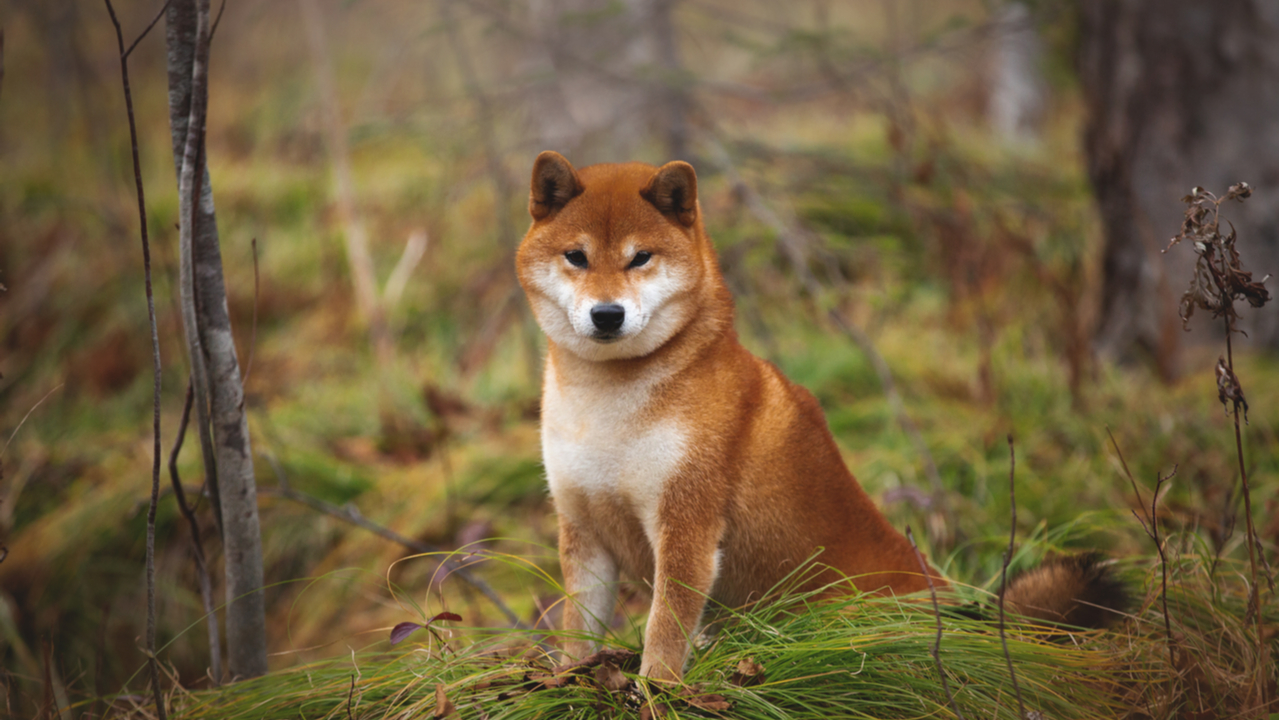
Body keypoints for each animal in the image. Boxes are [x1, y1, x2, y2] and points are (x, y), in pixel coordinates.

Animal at [514, 149, 1126, 676]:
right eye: (577, 257)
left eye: (640, 257)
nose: (607, 314)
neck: (608, 406)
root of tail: (965, 615)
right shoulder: (584, 529)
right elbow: (577, 632)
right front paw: (569, 679)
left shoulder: (686, 527)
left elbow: (663, 634)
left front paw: (655, 692)